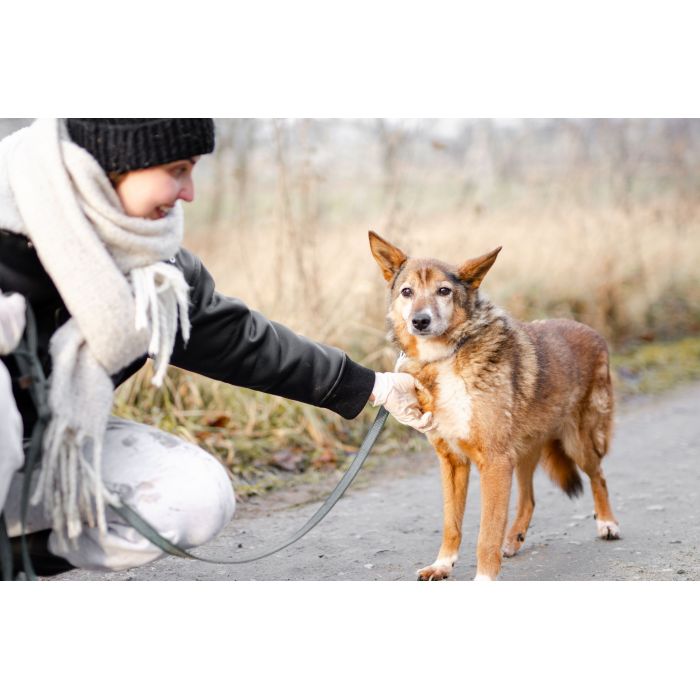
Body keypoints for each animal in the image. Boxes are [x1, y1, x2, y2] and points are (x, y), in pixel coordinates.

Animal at [370, 231, 620, 580]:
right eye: (407, 292)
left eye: (444, 291)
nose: (420, 321)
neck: (445, 357)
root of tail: (591, 331)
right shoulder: (453, 462)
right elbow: (452, 524)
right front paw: (442, 564)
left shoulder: (495, 462)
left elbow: (486, 534)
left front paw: (484, 578)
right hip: (524, 452)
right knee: (528, 499)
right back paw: (513, 539)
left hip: (578, 441)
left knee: (599, 477)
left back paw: (607, 523)